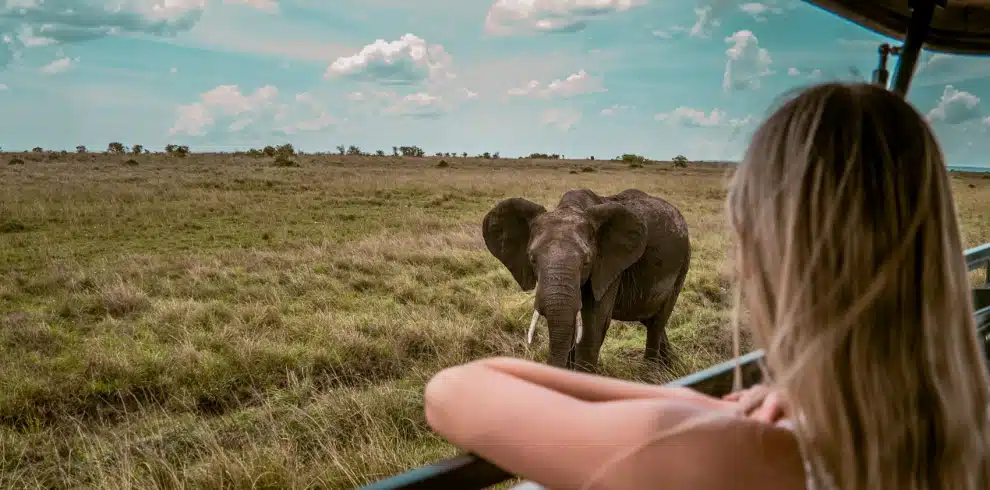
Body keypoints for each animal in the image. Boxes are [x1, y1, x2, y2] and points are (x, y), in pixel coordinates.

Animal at [482, 188, 691, 372]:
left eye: (586, 262)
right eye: (532, 259)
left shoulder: (607, 267)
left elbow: (592, 327)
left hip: (682, 266)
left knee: (657, 322)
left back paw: (651, 374)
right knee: (649, 318)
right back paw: (672, 366)